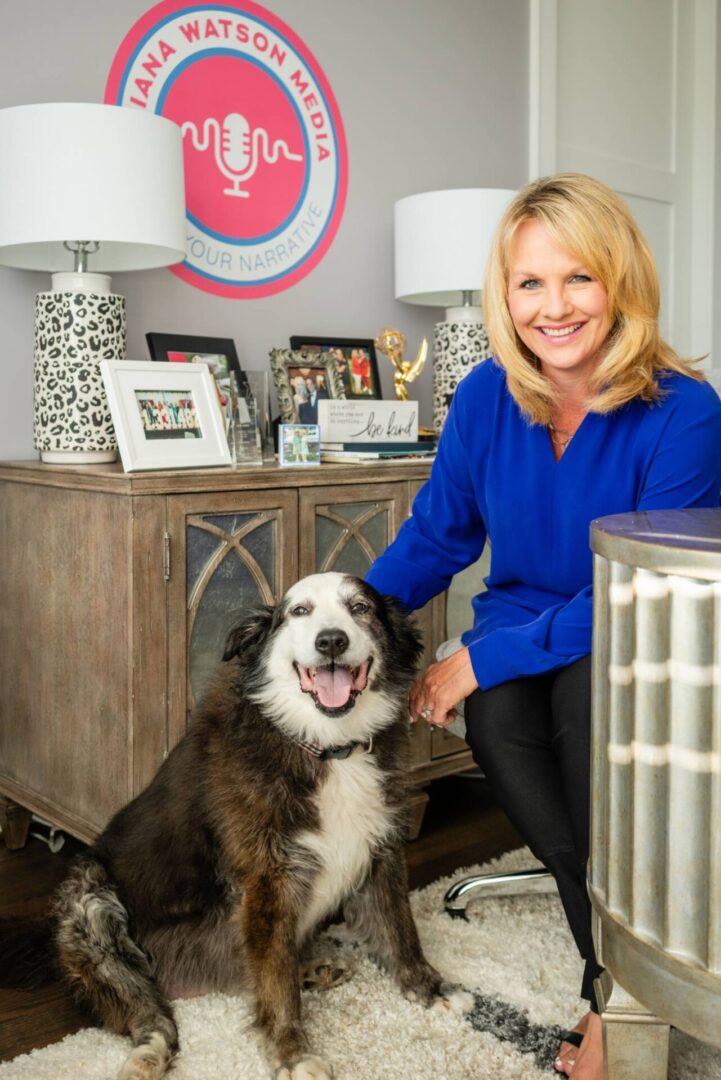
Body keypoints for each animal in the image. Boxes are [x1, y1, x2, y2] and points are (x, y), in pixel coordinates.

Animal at [0, 574, 470, 1080]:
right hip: (89, 899)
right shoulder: (267, 881)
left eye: (360, 608)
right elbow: (276, 986)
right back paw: (151, 1051)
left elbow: (400, 931)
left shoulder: (379, 848)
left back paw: (314, 967)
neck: (324, 747)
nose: (331, 641)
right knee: (150, 1011)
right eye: (299, 611)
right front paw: (293, 1053)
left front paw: (429, 988)